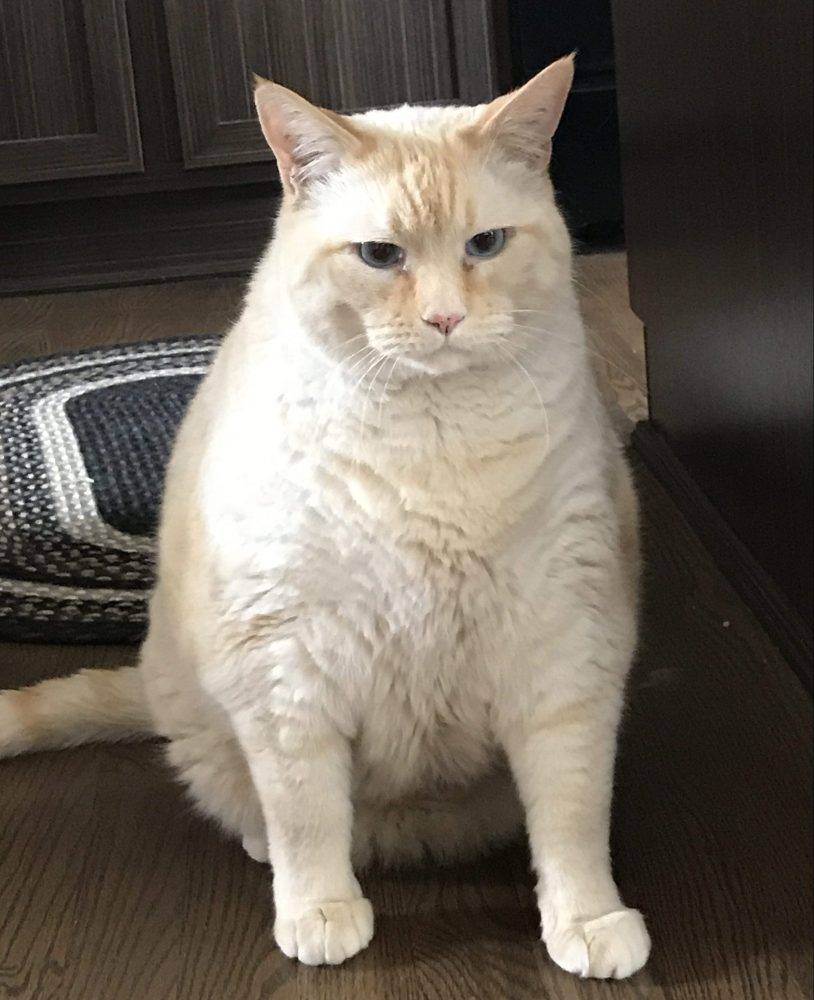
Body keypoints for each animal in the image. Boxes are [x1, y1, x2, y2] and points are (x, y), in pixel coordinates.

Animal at [0, 54, 652, 976]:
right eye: (380, 255)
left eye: (485, 246)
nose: (445, 319)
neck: (430, 441)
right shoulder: (286, 668)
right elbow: (307, 813)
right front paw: (319, 910)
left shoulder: (566, 647)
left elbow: (571, 814)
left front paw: (590, 920)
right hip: (212, 714)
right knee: (258, 804)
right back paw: (270, 850)